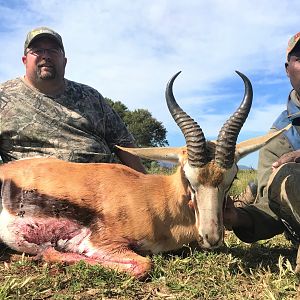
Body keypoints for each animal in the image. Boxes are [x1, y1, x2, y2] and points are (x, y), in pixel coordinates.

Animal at [0, 71, 290, 278]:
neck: (156, 199)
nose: (212, 237)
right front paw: (47, 251)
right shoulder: (103, 243)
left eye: (231, 180)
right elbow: (144, 265)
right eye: (188, 178)